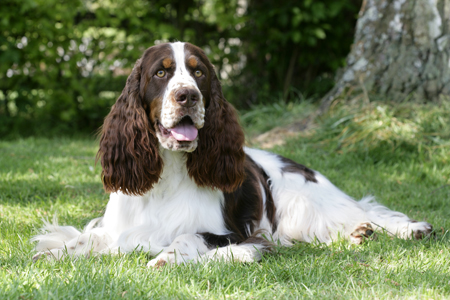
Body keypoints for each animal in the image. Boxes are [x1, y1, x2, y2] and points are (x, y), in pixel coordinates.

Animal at [31, 41, 432, 264]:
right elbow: (85, 239)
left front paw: (167, 258)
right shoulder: (119, 230)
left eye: (199, 73)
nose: (187, 96)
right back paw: (359, 235)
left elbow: (190, 237)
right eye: (161, 73)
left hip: (303, 202)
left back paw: (406, 228)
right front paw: (54, 252)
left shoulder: (234, 233)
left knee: (361, 211)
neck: (168, 177)